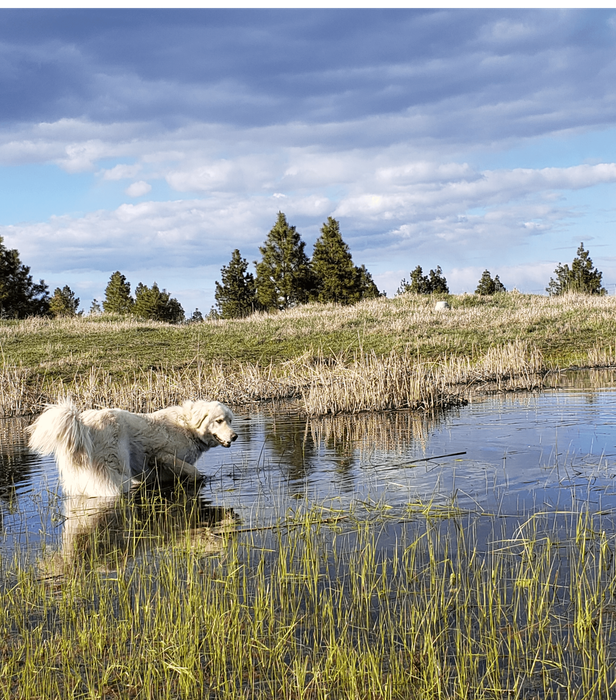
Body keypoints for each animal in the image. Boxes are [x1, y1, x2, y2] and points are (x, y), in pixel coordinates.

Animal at [27, 400, 237, 498]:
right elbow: (193, 471)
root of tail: (82, 423)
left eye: (230, 420)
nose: (235, 436)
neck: (189, 426)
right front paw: (198, 478)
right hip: (117, 466)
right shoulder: (161, 455)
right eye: (219, 421)